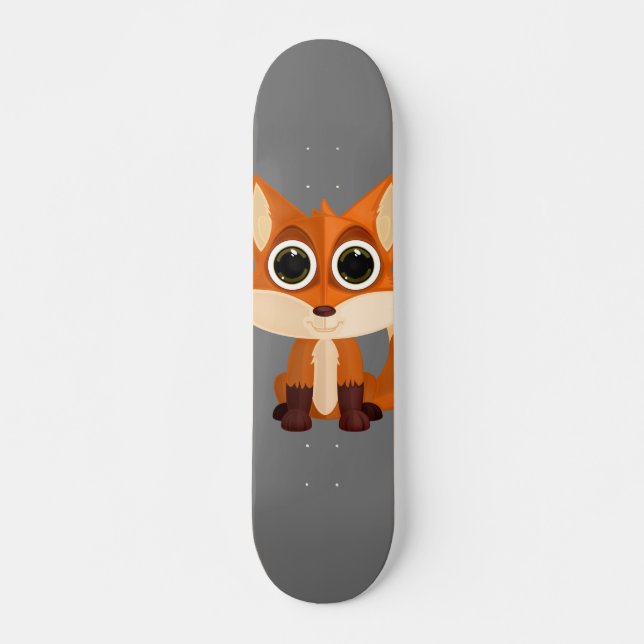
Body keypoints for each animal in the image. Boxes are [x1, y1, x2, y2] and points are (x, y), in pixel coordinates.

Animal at [253, 176, 394, 432]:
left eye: (356, 264)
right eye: (290, 264)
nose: (324, 310)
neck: (326, 341)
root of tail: (325, 418)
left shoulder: (352, 366)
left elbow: (351, 391)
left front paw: (355, 418)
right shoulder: (297, 366)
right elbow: (298, 392)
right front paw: (295, 418)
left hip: (369, 378)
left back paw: (370, 408)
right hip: (279, 378)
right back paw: (281, 410)